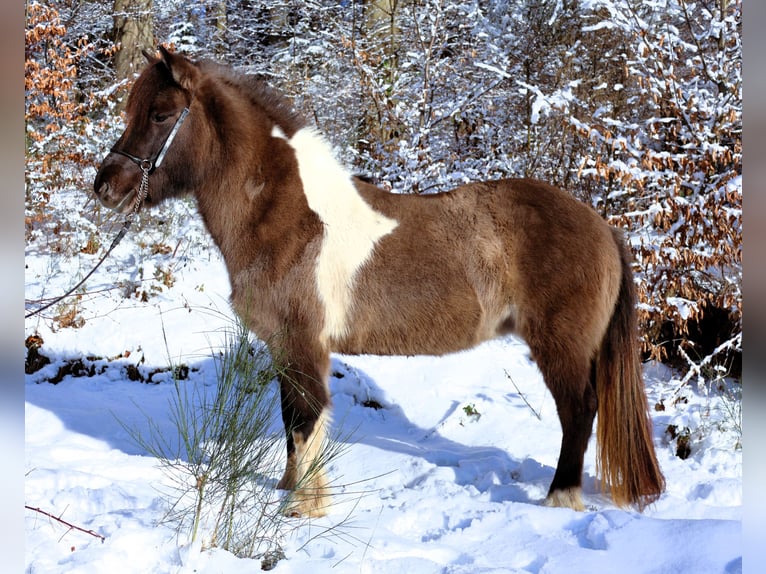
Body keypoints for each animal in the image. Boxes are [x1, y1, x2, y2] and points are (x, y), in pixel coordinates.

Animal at [94, 46, 665, 518]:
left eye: (161, 114)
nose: (105, 187)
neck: (290, 217)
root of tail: (602, 226)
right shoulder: (285, 347)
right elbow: (291, 419)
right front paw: (289, 489)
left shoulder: (303, 344)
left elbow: (306, 419)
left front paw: (304, 507)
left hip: (560, 347)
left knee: (579, 412)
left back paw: (559, 498)